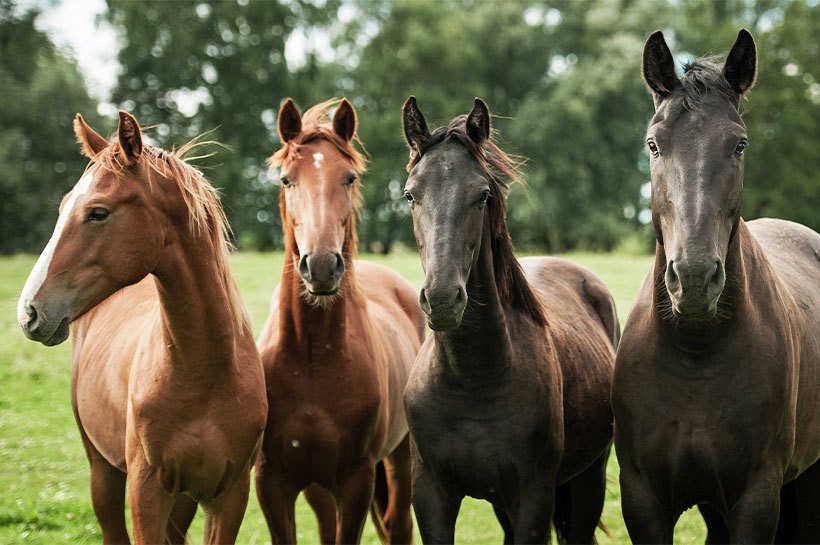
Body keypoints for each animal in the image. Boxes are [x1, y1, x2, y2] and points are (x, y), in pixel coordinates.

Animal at [16, 112, 266, 540]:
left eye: (98, 212)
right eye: (64, 207)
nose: (29, 311)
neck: (205, 373)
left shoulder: (229, 494)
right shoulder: (145, 490)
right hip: (102, 470)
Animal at [255, 99, 422, 544]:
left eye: (348, 178)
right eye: (286, 180)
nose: (321, 266)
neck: (313, 357)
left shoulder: (356, 481)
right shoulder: (272, 481)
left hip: (401, 455)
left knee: (398, 523)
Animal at [400, 98, 620, 544]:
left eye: (483, 195)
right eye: (411, 194)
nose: (443, 299)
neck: (473, 381)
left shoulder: (532, 498)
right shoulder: (431, 496)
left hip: (589, 477)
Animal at [612, 30, 820, 544]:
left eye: (739, 145)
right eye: (653, 144)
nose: (694, 279)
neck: (695, 355)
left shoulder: (757, 498)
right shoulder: (642, 498)